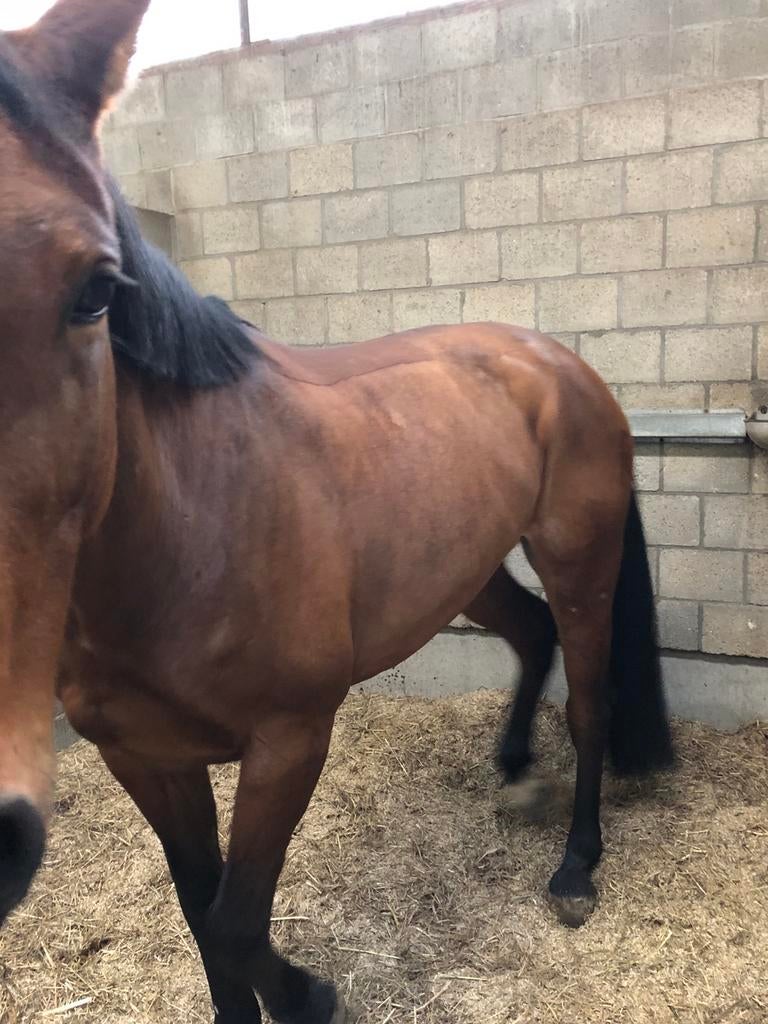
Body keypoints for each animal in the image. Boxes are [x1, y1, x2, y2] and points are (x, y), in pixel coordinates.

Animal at [0, 1, 673, 1021]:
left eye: (96, 291)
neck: (188, 521)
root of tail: (559, 363)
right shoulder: (146, 759)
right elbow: (204, 919)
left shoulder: (289, 742)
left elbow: (238, 922)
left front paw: (310, 993)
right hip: (465, 569)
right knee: (532, 632)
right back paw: (515, 770)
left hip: (579, 557)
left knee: (590, 700)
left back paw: (575, 869)